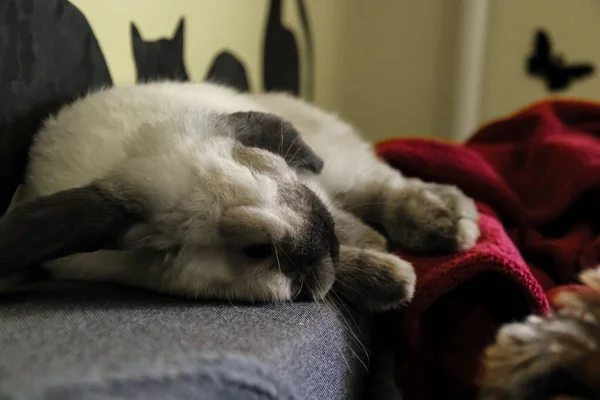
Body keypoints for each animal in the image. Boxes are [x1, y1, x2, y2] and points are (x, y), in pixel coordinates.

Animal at [0, 81, 480, 310]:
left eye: (268, 168)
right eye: (255, 250)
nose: (325, 244)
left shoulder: (315, 191)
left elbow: (346, 224)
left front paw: (387, 263)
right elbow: (336, 268)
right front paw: (393, 279)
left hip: (341, 164)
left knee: (385, 184)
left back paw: (449, 224)